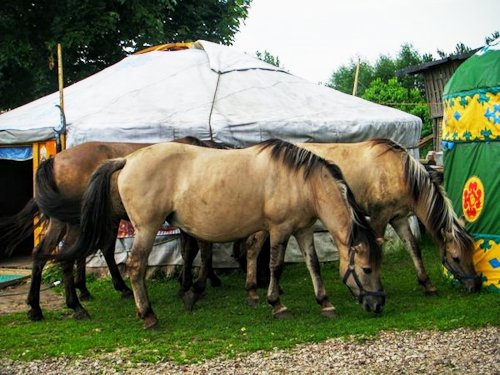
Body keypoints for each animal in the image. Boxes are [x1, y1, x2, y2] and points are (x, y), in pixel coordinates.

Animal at [0, 137, 221, 322]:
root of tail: (54, 160)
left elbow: (188, 251)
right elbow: (193, 251)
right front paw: (192, 284)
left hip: (61, 221)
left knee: (42, 253)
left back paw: (36, 307)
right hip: (77, 223)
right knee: (69, 256)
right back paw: (77, 305)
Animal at [59, 140, 386, 330]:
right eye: (366, 269)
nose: (378, 305)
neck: (301, 181)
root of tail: (127, 160)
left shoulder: (303, 229)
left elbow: (313, 265)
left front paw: (325, 302)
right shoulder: (279, 229)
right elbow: (275, 266)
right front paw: (276, 304)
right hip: (146, 229)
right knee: (136, 266)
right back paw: (148, 315)